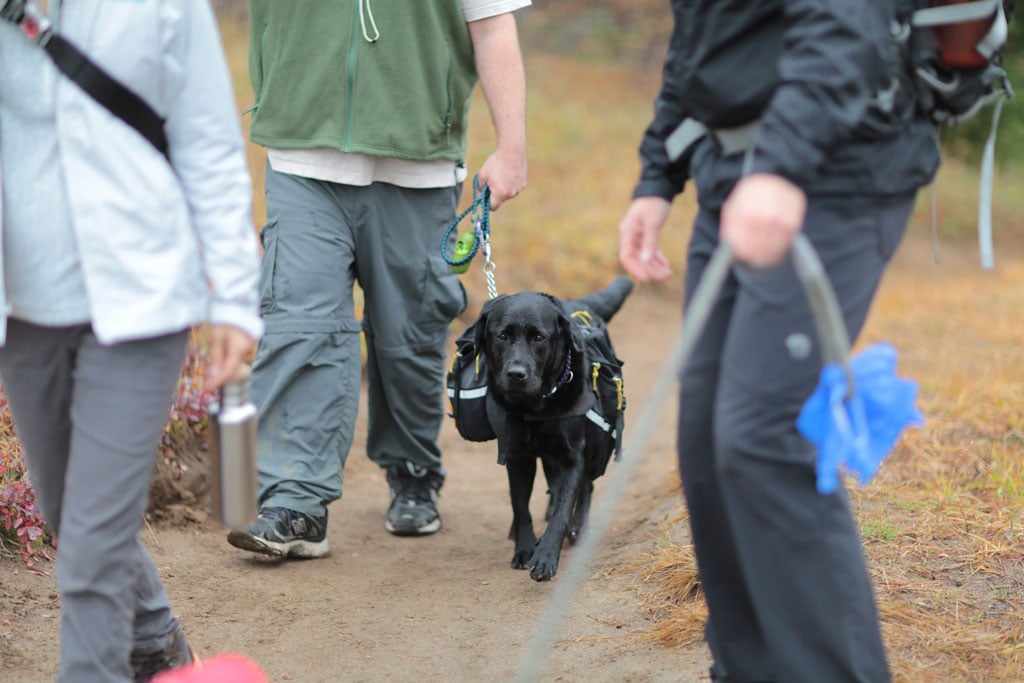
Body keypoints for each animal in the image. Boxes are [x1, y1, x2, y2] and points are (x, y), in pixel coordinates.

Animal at [473, 278, 630, 581]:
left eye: (539, 338)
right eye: (502, 336)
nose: (516, 374)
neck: (537, 407)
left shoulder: (573, 456)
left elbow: (563, 509)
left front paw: (546, 556)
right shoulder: (518, 457)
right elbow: (520, 506)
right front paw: (524, 549)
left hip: (595, 444)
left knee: (586, 488)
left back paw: (578, 528)